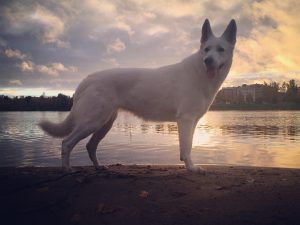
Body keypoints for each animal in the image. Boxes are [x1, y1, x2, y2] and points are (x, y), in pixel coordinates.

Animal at [39, 19, 237, 172]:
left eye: (220, 49)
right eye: (206, 49)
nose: (207, 61)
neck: (200, 73)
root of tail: (87, 79)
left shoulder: (192, 121)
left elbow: (187, 146)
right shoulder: (186, 120)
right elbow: (187, 147)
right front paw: (191, 168)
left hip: (104, 123)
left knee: (90, 146)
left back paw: (98, 167)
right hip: (92, 121)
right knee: (67, 143)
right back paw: (67, 169)